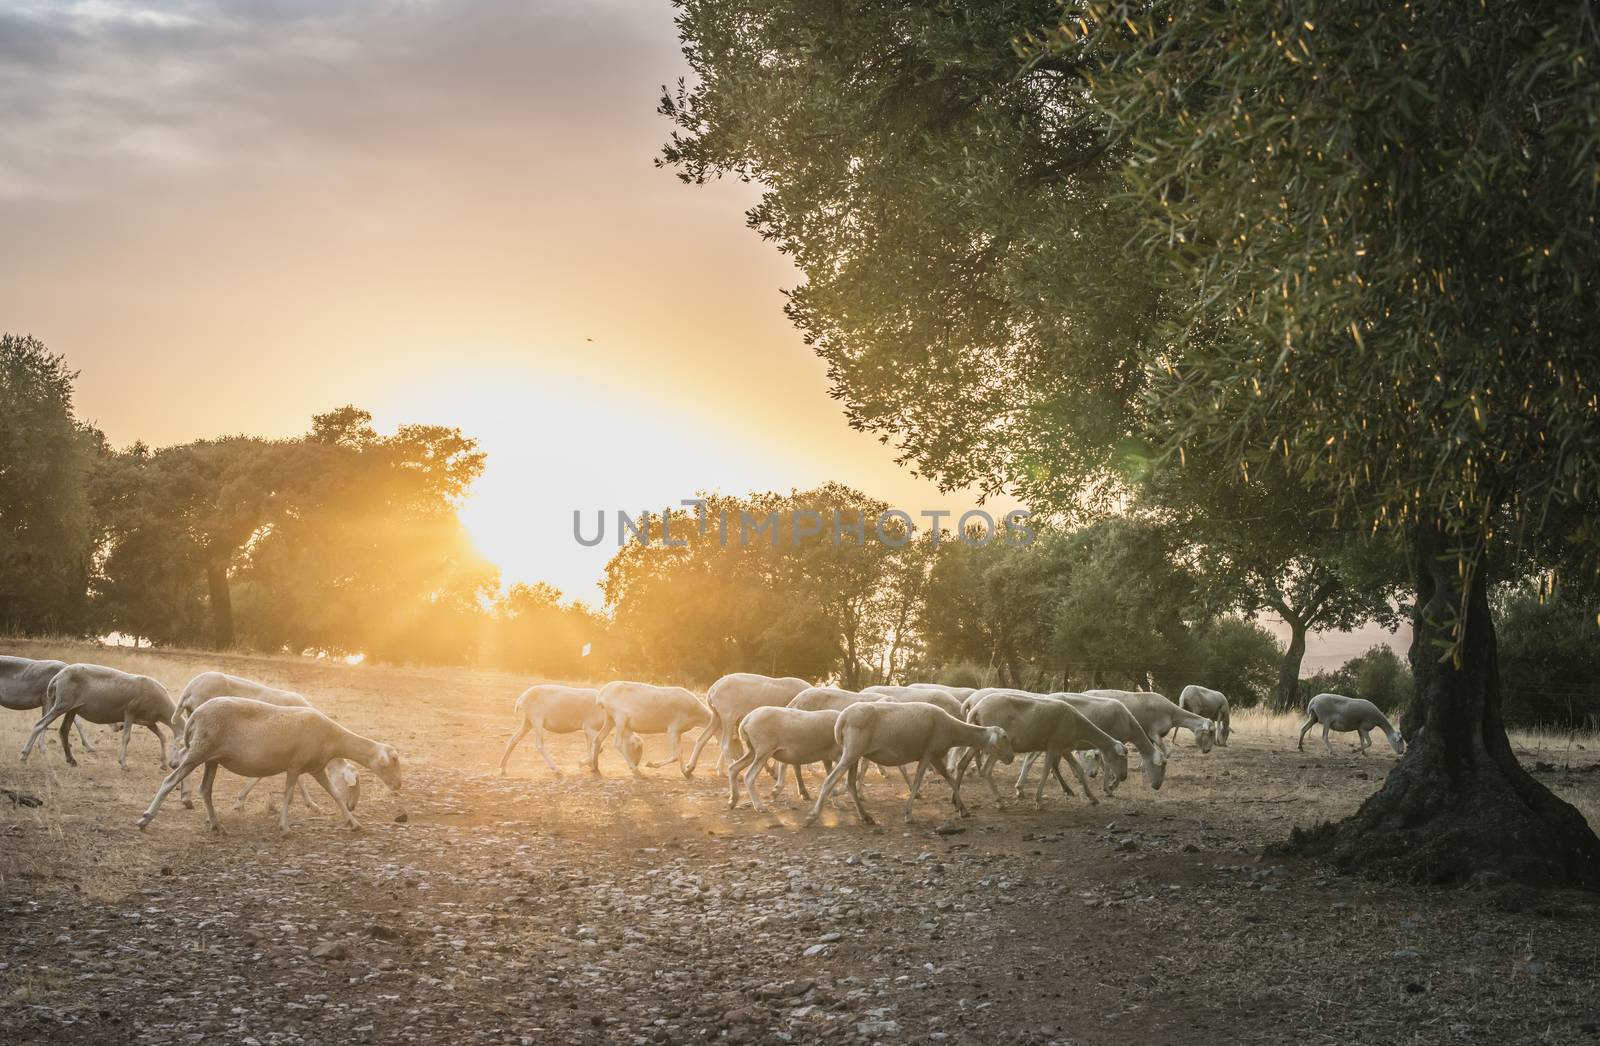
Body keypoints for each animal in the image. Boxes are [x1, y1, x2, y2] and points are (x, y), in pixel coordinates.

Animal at [19, 665, 176, 770]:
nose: (174, 766)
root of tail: (56, 678)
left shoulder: (149, 721)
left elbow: (162, 736)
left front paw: (163, 764)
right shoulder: (130, 712)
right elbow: (127, 737)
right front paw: (123, 764)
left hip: (72, 708)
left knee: (64, 730)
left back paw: (71, 760)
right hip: (62, 704)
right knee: (40, 724)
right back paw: (24, 756)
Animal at [134, 700, 403, 838]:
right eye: (393, 760)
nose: (399, 785)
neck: (333, 739)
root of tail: (194, 715)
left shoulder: (316, 768)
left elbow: (335, 795)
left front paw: (354, 822)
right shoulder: (295, 765)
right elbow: (289, 796)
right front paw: (284, 828)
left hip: (212, 758)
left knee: (206, 789)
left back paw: (217, 824)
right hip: (199, 751)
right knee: (169, 781)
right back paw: (146, 818)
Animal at [684, 671, 812, 777]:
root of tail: (713, 689)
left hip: (717, 716)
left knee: (702, 739)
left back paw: (689, 769)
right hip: (728, 717)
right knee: (724, 744)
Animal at [800, 700, 1011, 831]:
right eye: (1004, 737)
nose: (1010, 758)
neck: (952, 730)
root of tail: (841, 719)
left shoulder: (935, 756)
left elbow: (950, 779)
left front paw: (962, 808)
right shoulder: (928, 754)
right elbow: (918, 781)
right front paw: (909, 814)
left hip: (855, 755)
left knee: (850, 783)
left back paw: (866, 816)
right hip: (851, 752)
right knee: (830, 781)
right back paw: (812, 817)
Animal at [960, 697, 1126, 812]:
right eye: (1121, 757)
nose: (1123, 777)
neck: (1078, 724)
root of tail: (976, 709)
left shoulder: (1064, 748)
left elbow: (1079, 770)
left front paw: (1093, 798)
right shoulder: (1053, 746)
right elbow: (1046, 772)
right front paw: (1038, 801)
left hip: (978, 740)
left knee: (962, 763)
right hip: (997, 746)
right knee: (986, 770)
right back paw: (1000, 802)